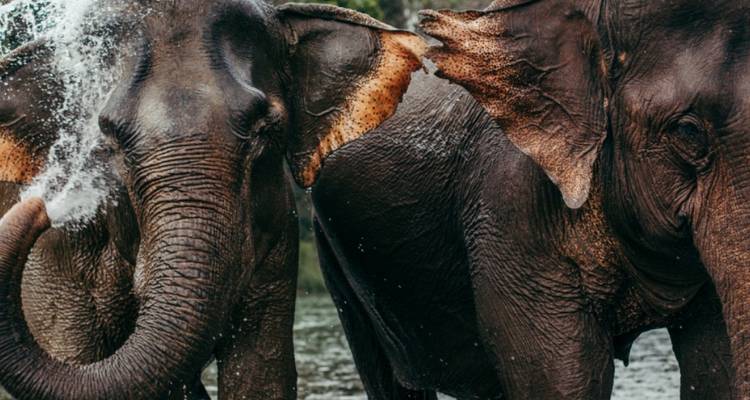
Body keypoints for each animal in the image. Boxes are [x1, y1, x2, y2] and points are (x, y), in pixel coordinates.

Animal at [0, 1, 425, 399]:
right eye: (107, 139)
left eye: (264, 129)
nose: (42, 205)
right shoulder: (54, 265)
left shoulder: (276, 235)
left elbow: (260, 375)